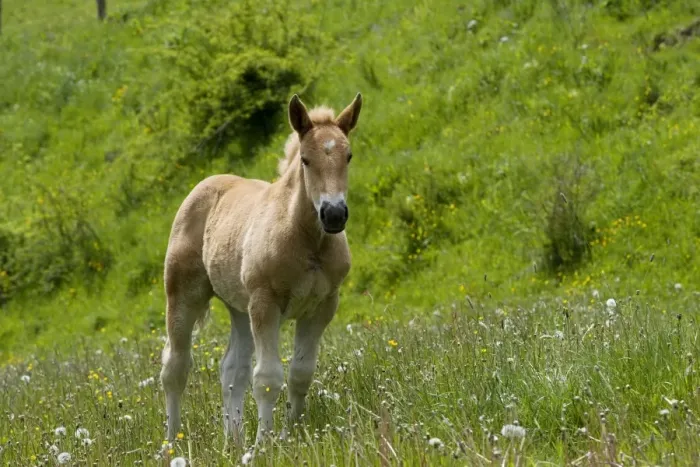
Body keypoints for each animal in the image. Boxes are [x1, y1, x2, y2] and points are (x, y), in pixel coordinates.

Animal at [159, 93, 363, 445]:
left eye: (348, 156)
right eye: (306, 160)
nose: (334, 214)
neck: (307, 241)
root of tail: (206, 183)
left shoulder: (322, 307)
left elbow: (300, 373)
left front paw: (289, 432)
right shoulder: (266, 303)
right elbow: (267, 378)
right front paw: (265, 443)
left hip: (240, 308)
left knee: (232, 369)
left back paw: (234, 440)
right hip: (185, 293)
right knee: (176, 366)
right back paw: (173, 442)